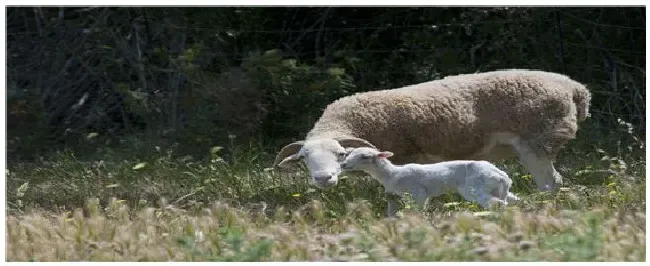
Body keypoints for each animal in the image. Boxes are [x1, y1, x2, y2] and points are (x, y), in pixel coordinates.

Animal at [270, 69, 588, 191]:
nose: (323, 179)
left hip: (538, 141)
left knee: (551, 182)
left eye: (340, 154)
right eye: (304, 159)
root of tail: (574, 87)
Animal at [340, 148, 516, 216]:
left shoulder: (419, 193)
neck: (391, 174)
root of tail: (502, 176)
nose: (343, 165)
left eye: (365, 157)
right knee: (509, 201)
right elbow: (391, 215)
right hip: (498, 189)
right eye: (349, 154)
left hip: (475, 188)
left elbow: (417, 210)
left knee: (498, 204)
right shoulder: (393, 197)